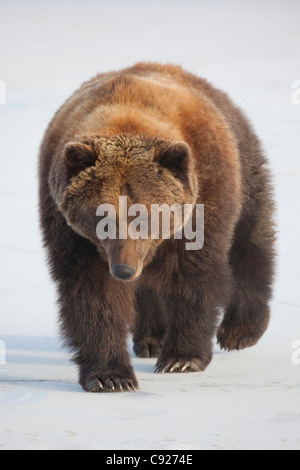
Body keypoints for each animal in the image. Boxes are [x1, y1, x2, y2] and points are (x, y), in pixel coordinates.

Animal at [38, 63, 276, 392]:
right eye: (102, 218)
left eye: (145, 216)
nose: (124, 270)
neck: (126, 115)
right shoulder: (73, 232)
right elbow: (93, 291)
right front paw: (110, 376)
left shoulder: (202, 196)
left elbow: (193, 273)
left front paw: (182, 358)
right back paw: (150, 338)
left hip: (242, 162)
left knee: (249, 241)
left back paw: (240, 330)